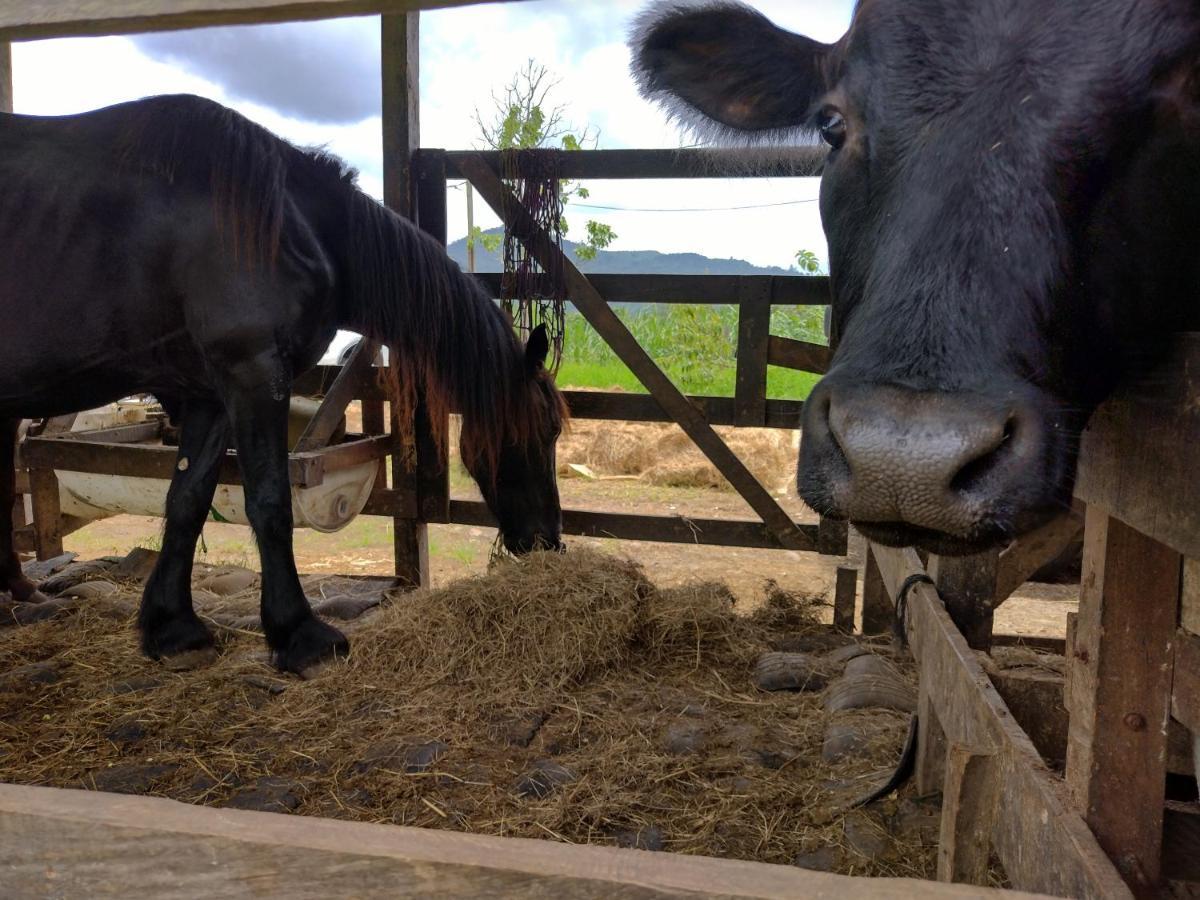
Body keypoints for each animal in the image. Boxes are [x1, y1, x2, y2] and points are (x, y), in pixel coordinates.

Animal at [0, 97, 566, 676]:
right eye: (545, 431)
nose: (548, 540)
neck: (287, 224)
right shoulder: (253, 374)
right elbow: (270, 504)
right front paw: (300, 634)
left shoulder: (208, 395)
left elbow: (186, 500)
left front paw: (173, 628)